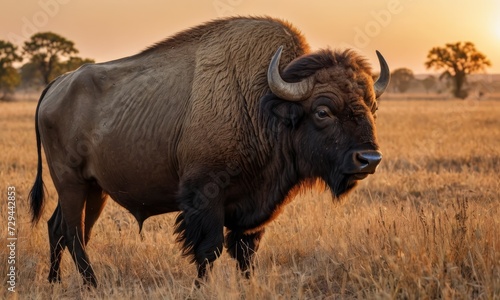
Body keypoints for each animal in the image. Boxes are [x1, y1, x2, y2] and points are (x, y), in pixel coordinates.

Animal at [28, 15, 390, 286]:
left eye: (373, 107)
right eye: (322, 111)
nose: (368, 159)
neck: (263, 104)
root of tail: (56, 85)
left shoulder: (252, 209)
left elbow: (245, 253)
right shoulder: (205, 197)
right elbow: (208, 250)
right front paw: (201, 288)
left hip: (95, 189)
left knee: (61, 228)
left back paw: (56, 282)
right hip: (71, 183)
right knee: (72, 233)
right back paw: (92, 284)